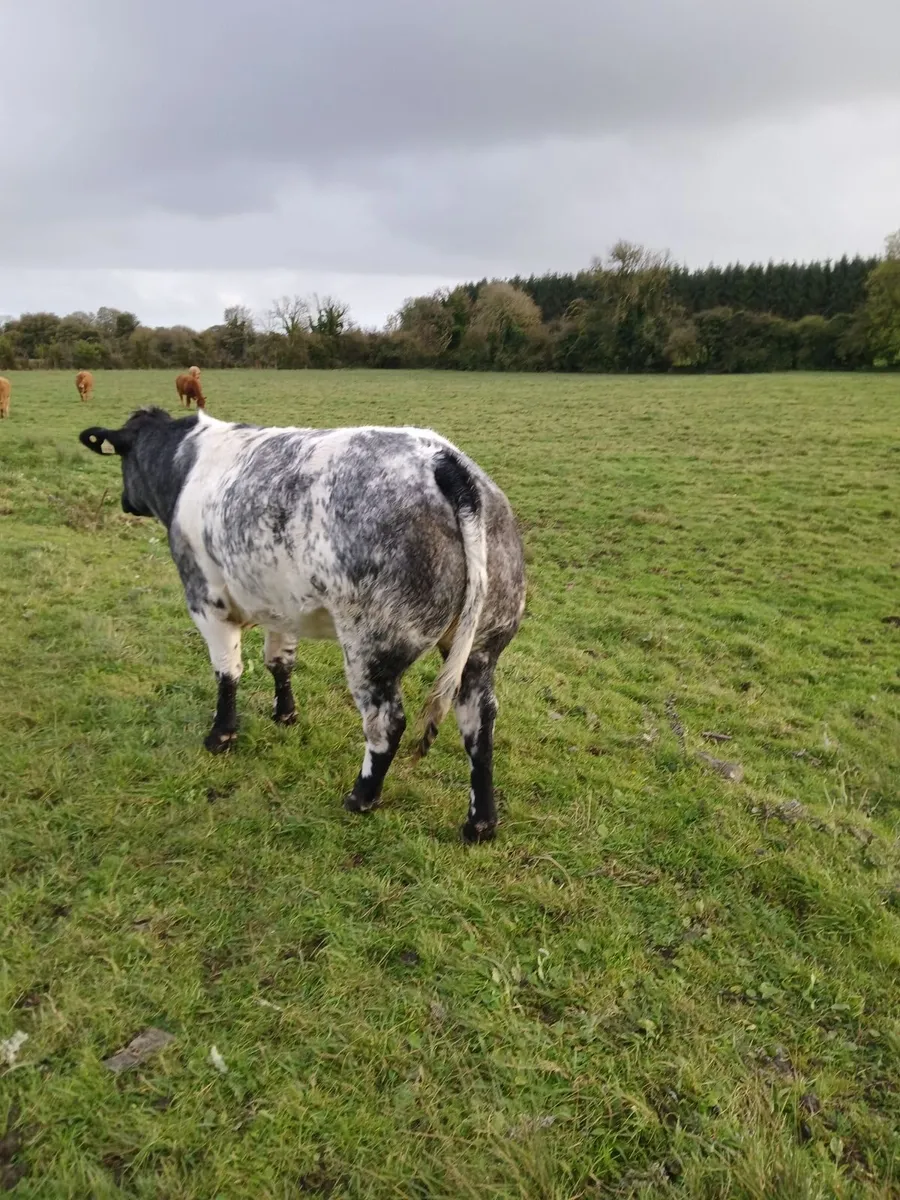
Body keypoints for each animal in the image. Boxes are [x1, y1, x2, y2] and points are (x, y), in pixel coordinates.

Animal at [78, 407, 526, 841]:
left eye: (123, 458)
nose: (125, 501)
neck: (183, 463)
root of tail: (441, 458)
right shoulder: (281, 604)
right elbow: (280, 660)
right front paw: (285, 714)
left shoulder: (205, 598)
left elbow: (228, 672)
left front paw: (221, 735)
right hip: (482, 643)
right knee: (479, 720)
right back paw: (480, 824)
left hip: (373, 645)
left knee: (387, 722)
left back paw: (362, 797)